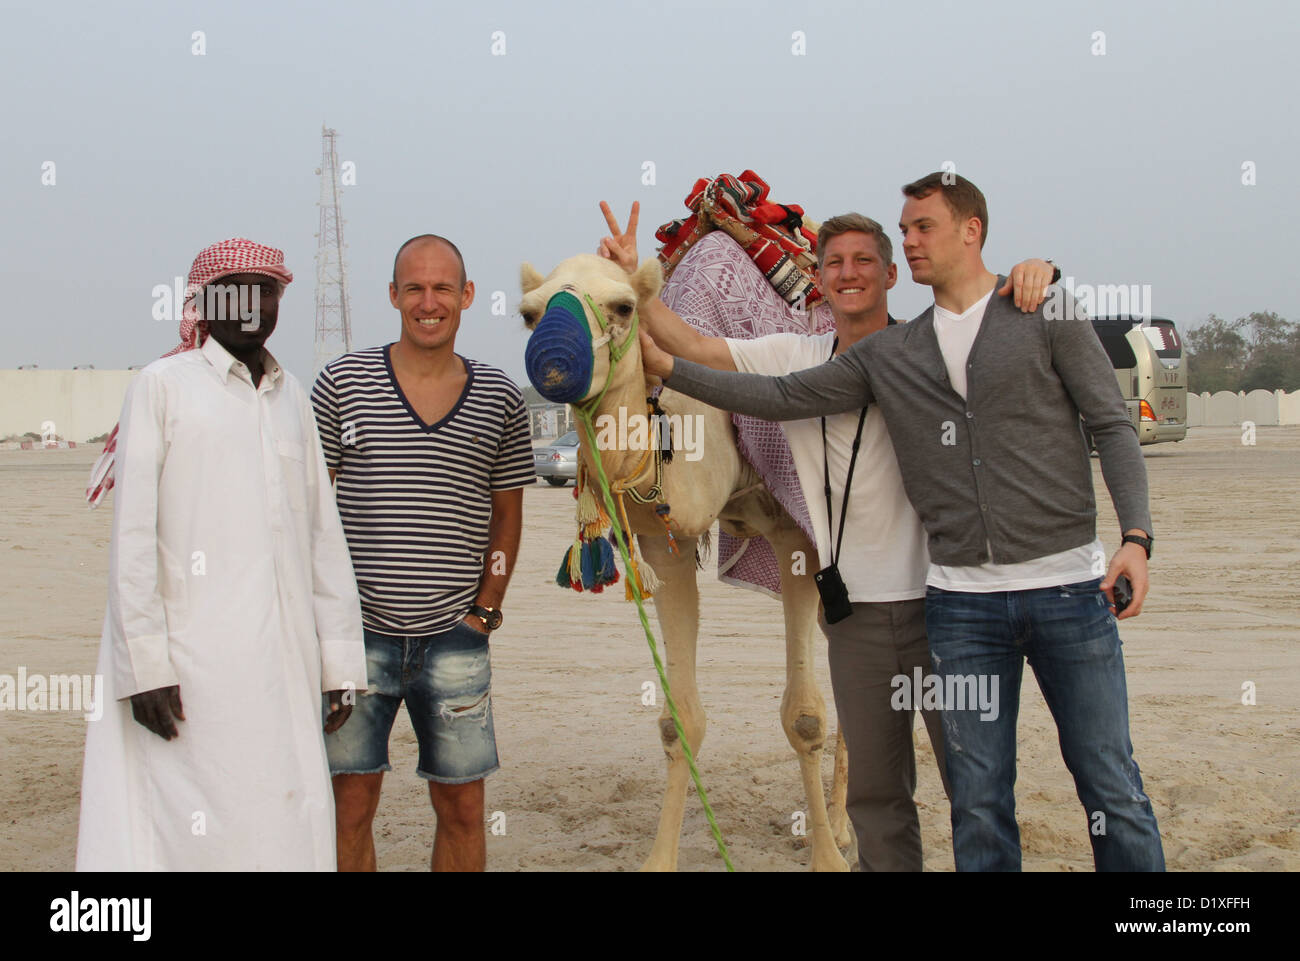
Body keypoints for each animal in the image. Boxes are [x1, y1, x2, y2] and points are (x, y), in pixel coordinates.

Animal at [517, 256, 852, 873]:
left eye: (624, 307)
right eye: (529, 314)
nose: (553, 362)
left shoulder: (796, 531)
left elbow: (804, 716)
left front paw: (827, 859)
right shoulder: (663, 547)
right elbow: (680, 723)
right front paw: (659, 859)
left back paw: (842, 830)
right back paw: (844, 823)